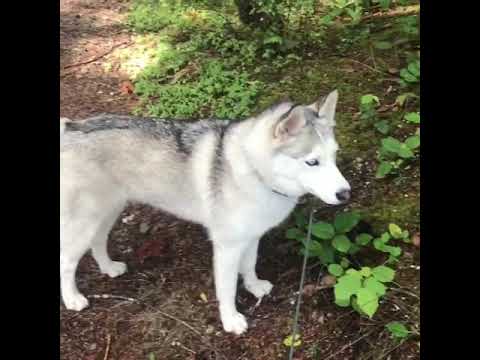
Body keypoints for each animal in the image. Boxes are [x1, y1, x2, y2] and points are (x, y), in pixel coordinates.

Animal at [62, 89, 350, 334]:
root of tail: (69, 129)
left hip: (108, 211)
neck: (253, 169)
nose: (346, 194)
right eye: (312, 162)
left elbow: (250, 265)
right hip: (85, 221)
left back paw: (109, 267)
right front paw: (231, 320)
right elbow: (227, 288)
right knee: (66, 262)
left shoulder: (251, 237)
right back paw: (73, 299)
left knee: (97, 242)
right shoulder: (226, 247)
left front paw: (254, 286)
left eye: (335, 155)